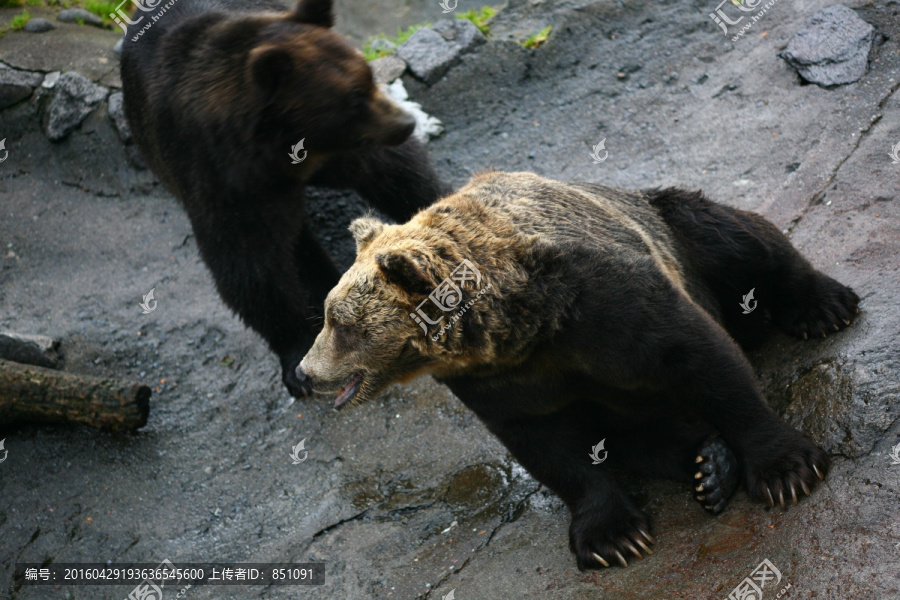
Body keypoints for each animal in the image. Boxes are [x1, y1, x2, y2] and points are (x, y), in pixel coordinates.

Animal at [119, 0, 446, 396]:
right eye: (352, 99)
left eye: (367, 77)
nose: (405, 124)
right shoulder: (222, 184)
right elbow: (251, 270)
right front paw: (296, 359)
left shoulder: (342, 152)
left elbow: (396, 173)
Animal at [298, 170, 856, 572]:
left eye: (339, 322)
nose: (304, 373)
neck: (521, 328)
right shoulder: (499, 381)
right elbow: (546, 444)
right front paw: (614, 537)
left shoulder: (604, 299)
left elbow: (698, 356)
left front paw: (787, 469)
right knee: (637, 435)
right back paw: (709, 466)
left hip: (671, 222)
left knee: (737, 238)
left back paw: (823, 306)